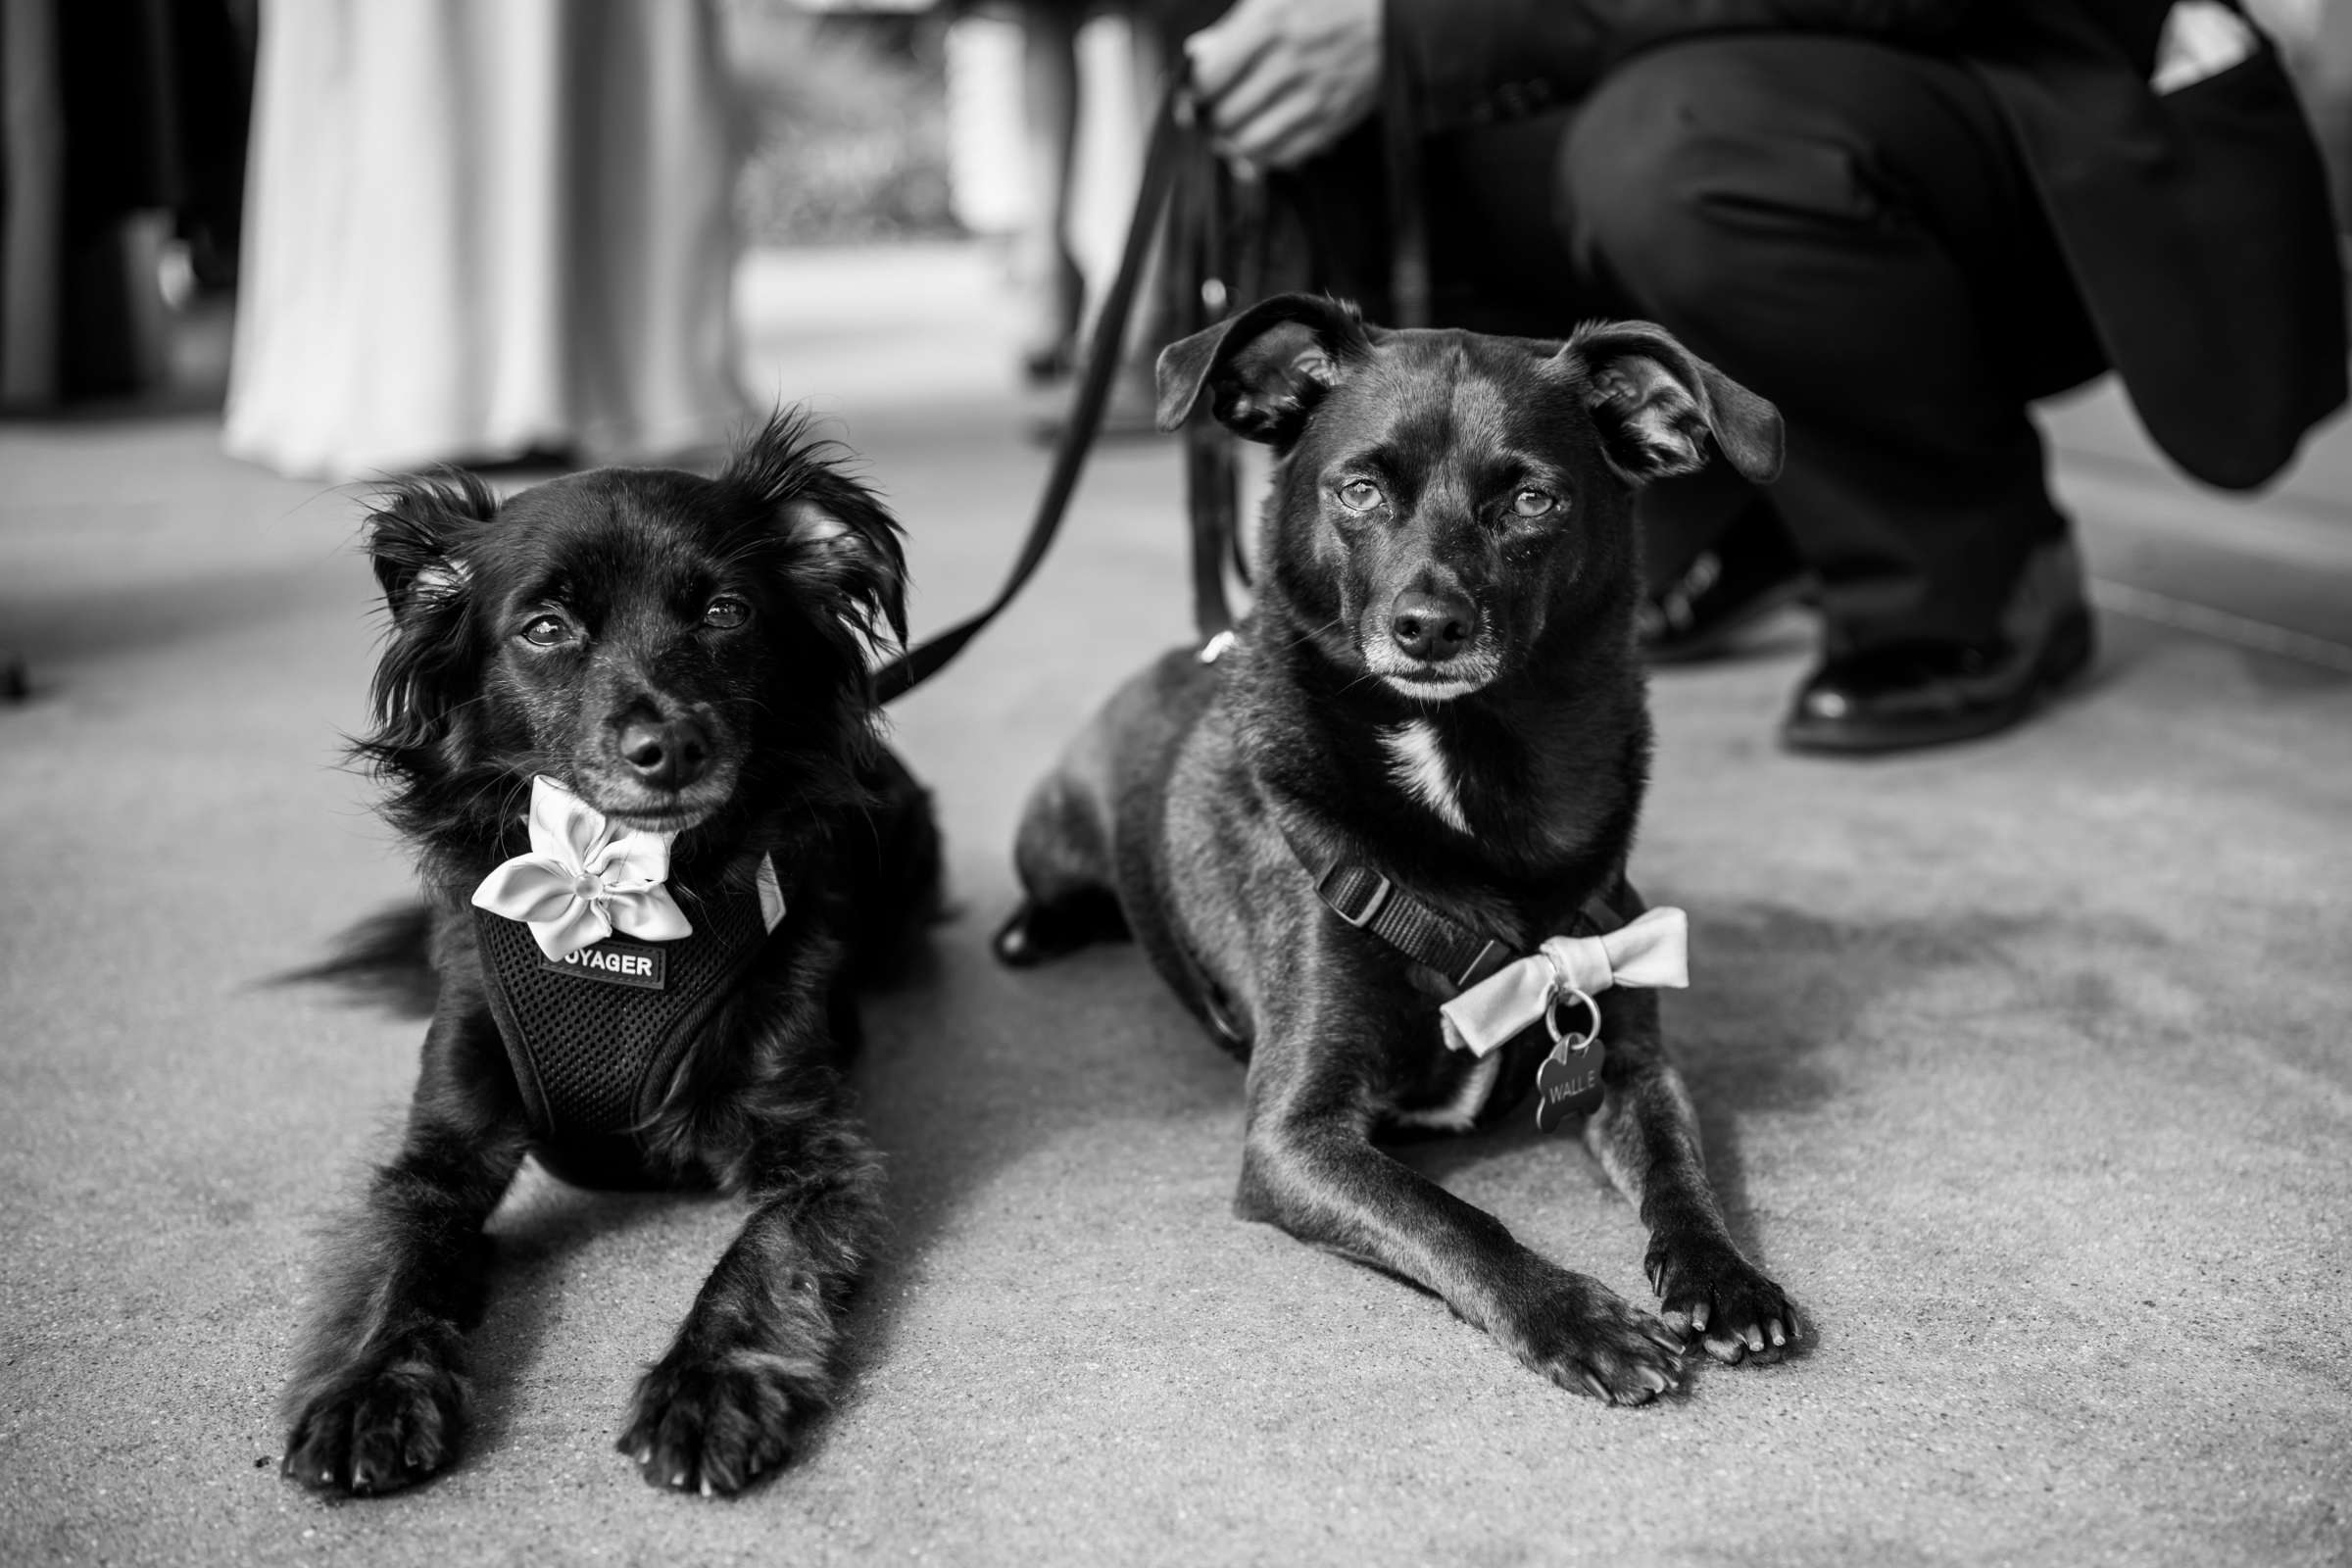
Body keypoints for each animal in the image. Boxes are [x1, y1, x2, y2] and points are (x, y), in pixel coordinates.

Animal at [277, 414, 936, 1494]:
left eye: (726, 611)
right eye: (545, 628)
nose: (668, 748)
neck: (618, 907)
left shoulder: (824, 1157)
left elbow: (762, 1262)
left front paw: (708, 1387)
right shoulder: (439, 1149)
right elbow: (401, 1261)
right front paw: (371, 1385)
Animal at [997, 301, 1796, 1400]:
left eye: (1534, 499)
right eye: (1360, 489)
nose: (1427, 626)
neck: (1474, 785)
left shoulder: (1634, 1057)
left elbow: (1683, 1165)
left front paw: (1725, 1274)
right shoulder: (1295, 1135)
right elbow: (1453, 1217)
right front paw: (1577, 1316)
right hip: (1053, 831)